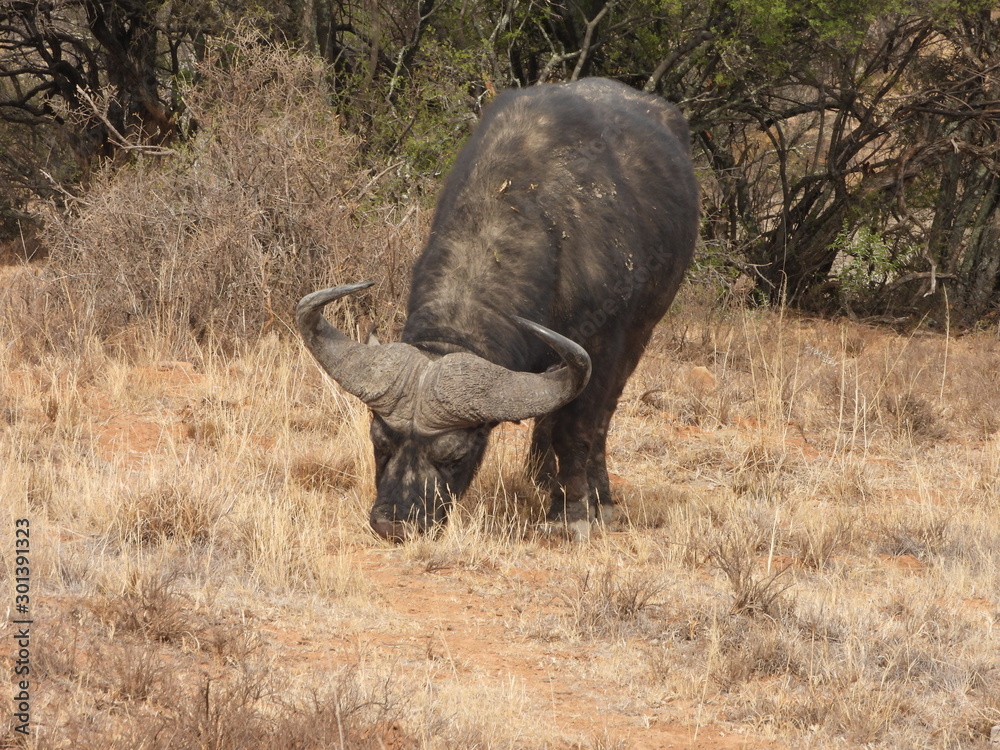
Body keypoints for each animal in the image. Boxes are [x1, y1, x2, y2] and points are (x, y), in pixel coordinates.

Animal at [297, 78, 698, 541]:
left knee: (602, 417)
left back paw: (597, 496)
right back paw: (541, 478)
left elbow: (577, 430)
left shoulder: (602, 346)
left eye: (455, 456)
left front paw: (572, 512)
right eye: (380, 443)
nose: (392, 524)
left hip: (642, 332)